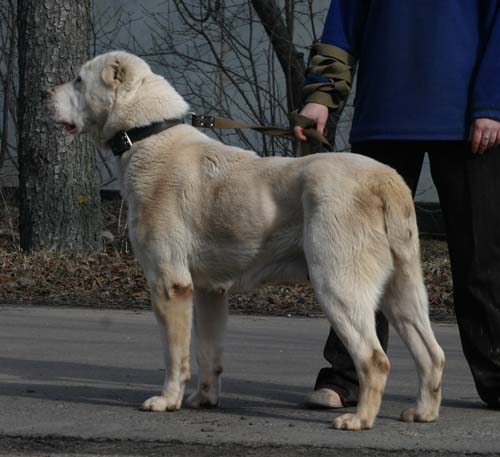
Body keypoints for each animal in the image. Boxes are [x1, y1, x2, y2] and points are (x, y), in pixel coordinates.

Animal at [48, 51, 444, 430]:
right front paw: (204, 399)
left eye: (79, 80)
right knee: (432, 354)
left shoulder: (169, 283)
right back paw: (423, 412)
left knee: (375, 360)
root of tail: (385, 180)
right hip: (403, 290)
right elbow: (207, 352)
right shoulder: (208, 291)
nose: (45, 94)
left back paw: (359, 420)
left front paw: (167, 400)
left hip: (338, 285)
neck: (148, 132)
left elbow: (176, 354)